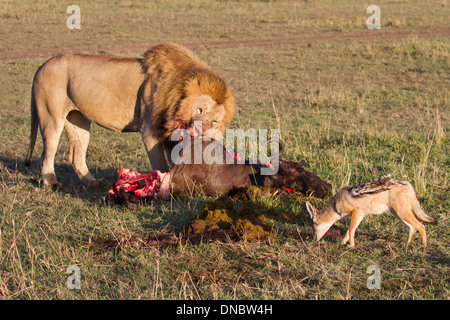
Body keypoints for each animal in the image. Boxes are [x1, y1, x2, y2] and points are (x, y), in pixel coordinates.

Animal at [24, 41, 236, 189]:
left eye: (215, 121)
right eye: (199, 110)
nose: (199, 132)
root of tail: (42, 65)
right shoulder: (151, 131)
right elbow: (161, 164)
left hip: (78, 120)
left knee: (76, 156)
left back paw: (93, 182)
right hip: (51, 117)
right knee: (47, 153)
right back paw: (50, 183)